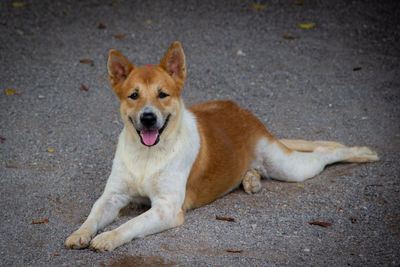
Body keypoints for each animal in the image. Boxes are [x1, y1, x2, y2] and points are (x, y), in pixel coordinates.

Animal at [65, 41, 378, 251]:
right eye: (133, 95)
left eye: (163, 94)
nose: (148, 117)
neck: (148, 154)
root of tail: (247, 115)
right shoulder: (113, 196)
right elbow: (92, 215)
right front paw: (81, 233)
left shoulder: (167, 208)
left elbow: (130, 224)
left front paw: (108, 237)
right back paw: (250, 178)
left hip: (290, 168)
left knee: (325, 152)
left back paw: (359, 153)